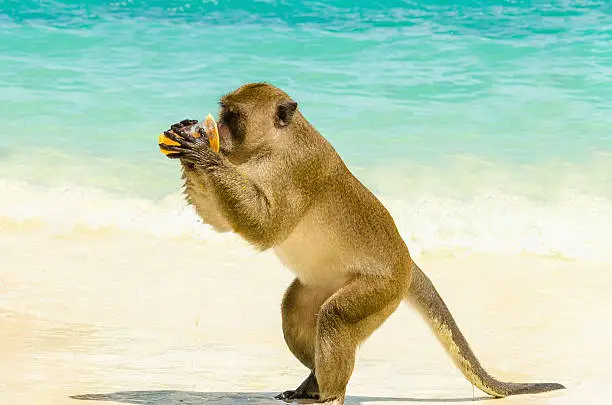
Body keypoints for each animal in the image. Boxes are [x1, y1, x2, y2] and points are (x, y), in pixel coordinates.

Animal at [158, 80, 564, 402]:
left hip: (381, 290)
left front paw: (200, 151)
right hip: (328, 284)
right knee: (297, 309)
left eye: (232, 116)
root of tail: (407, 260)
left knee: (336, 317)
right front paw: (187, 141)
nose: (218, 130)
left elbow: (266, 228)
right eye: (222, 114)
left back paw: (331, 394)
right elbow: (223, 223)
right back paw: (313, 383)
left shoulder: (297, 169)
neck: (272, 145)